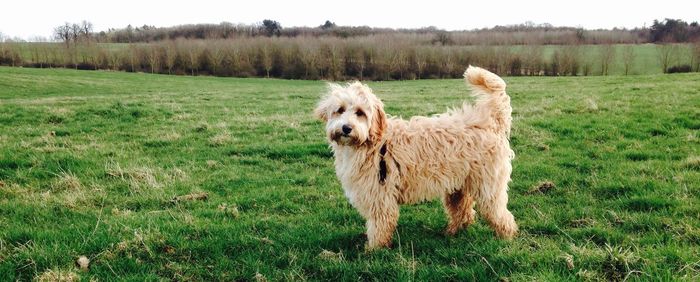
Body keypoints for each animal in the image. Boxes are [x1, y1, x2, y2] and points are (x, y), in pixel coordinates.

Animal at [314, 65, 516, 249]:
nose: (346, 128)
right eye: (340, 110)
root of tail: (490, 123)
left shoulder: (380, 197)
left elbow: (379, 226)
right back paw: (452, 232)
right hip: (458, 185)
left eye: (360, 113)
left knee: (499, 213)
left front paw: (374, 250)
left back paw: (507, 237)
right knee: (463, 211)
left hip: (488, 186)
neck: (373, 142)